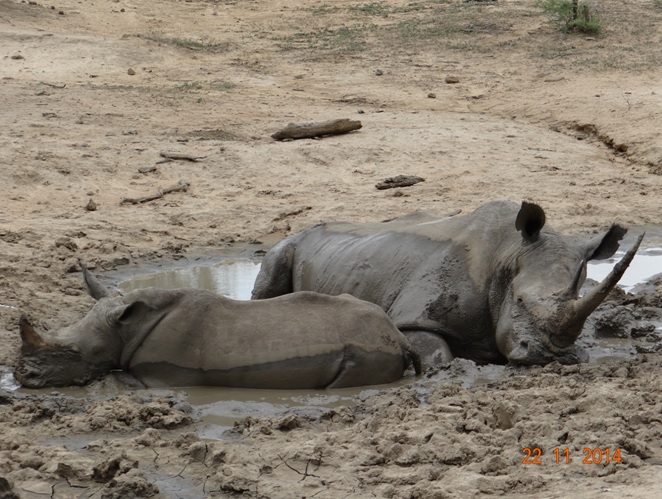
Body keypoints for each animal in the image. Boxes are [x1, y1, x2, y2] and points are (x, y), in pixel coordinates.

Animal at [14, 264, 420, 388]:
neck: (124, 328)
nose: (21, 377)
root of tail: (399, 338)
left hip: (366, 351)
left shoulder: (162, 376)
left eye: (73, 353)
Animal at [252, 199, 644, 368]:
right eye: (518, 301)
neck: (508, 253)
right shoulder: (414, 316)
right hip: (291, 242)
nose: (552, 357)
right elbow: (437, 353)